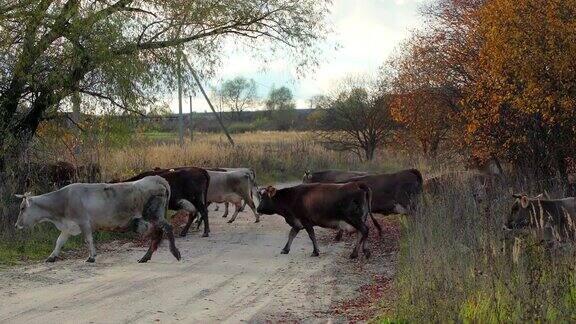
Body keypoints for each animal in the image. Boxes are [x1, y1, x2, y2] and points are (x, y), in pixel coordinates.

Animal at [15, 175, 180, 264]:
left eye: (22, 208)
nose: (16, 225)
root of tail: (156, 178)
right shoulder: (69, 226)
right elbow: (59, 241)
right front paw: (51, 257)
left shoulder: (84, 222)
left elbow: (88, 239)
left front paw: (91, 257)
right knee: (157, 234)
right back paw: (145, 257)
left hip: (153, 214)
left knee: (167, 228)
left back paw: (175, 253)